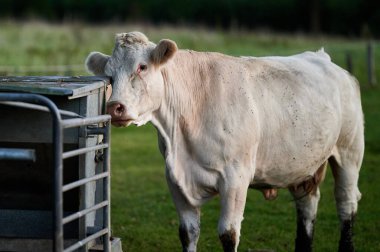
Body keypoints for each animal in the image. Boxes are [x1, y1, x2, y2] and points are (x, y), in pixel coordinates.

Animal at [84, 31, 364, 252]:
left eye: (142, 67)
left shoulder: (235, 178)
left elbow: (228, 234)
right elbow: (188, 232)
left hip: (349, 152)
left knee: (346, 203)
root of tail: (324, 59)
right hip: (301, 165)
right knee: (307, 206)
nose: (114, 107)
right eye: (109, 75)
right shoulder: (174, 179)